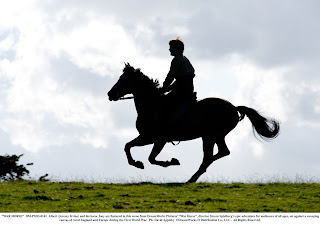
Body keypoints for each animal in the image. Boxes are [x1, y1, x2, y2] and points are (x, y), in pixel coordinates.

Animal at [108, 63, 280, 183]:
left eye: (124, 79)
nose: (110, 94)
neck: (152, 105)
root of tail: (234, 108)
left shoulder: (156, 139)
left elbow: (150, 157)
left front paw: (170, 162)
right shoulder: (147, 137)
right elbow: (128, 146)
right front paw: (137, 163)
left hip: (212, 135)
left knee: (213, 155)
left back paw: (193, 176)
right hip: (212, 136)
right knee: (219, 153)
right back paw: (195, 175)